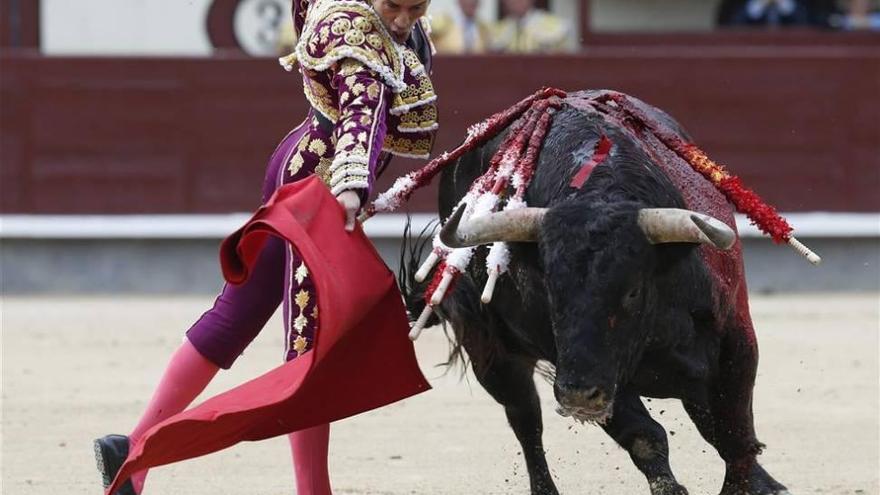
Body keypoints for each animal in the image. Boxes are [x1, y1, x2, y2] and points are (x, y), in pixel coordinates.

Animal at [402, 90, 796, 495]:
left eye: (633, 292)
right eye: (550, 288)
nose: (577, 396)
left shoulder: (736, 340)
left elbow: (734, 434)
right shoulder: (586, 369)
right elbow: (645, 435)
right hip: (491, 353)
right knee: (526, 420)